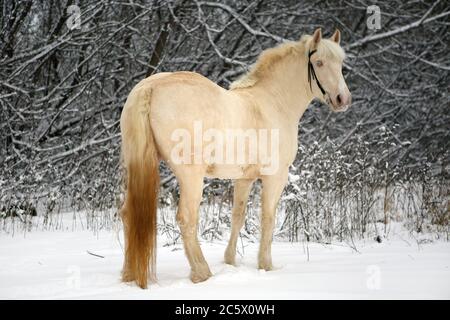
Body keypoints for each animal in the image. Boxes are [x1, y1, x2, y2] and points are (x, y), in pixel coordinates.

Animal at [119, 26, 352, 288]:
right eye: (319, 62)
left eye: (341, 63)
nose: (343, 99)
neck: (272, 103)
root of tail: (149, 87)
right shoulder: (275, 177)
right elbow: (268, 218)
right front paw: (266, 265)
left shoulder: (244, 178)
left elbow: (237, 217)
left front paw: (230, 261)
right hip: (191, 176)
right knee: (186, 218)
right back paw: (201, 272)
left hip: (135, 169)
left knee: (127, 214)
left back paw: (128, 275)